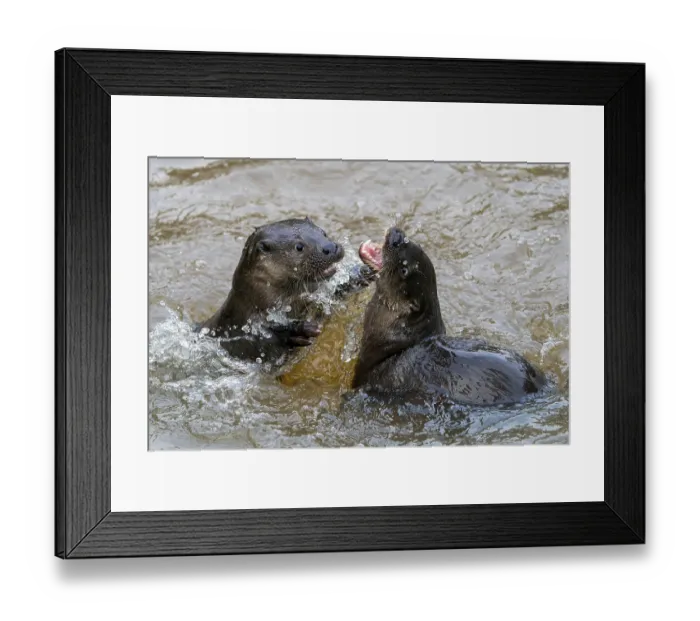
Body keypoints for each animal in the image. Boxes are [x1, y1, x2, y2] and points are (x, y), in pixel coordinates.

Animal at [198, 217, 374, 365]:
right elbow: (264, 341)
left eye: (323, 233)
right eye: (299, 247)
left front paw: (362, 272)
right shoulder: (240, 333)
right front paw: (297, 331)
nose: (330, 247)